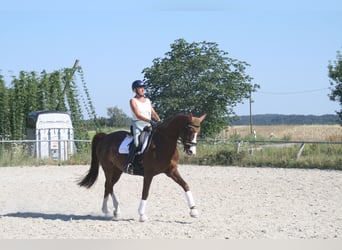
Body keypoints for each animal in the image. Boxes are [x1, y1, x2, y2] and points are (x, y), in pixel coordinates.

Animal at [78, 112, 206, 222]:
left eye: (198, 131)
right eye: (190, 129)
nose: (191, 151)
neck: (163, 142)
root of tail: (105, 137)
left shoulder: (171, 171)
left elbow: (185, 185)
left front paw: (194, 211)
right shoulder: (149, 174)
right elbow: (145, 192)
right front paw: (142, 215)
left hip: (118, 170)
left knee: (110, 186)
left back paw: (116, 210)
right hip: (108, 169)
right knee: (108, 185)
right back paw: (107, 210)